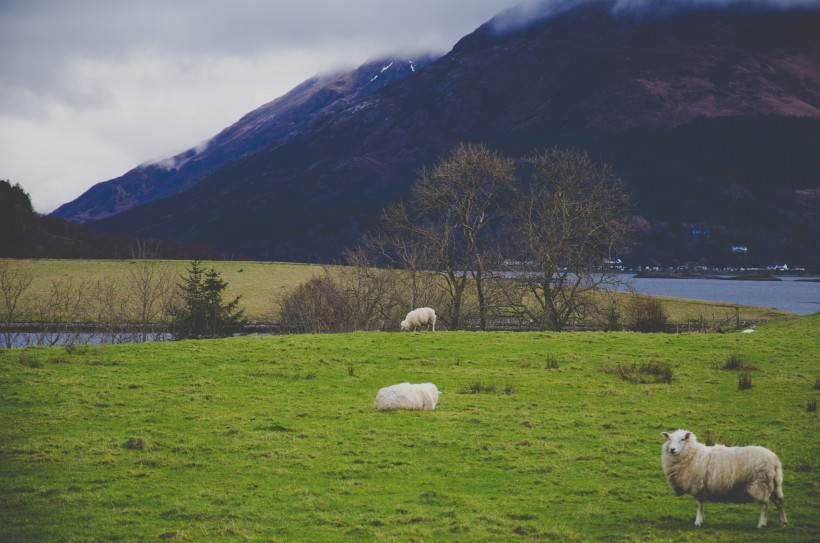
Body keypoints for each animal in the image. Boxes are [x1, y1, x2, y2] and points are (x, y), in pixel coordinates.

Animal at [660, 430, 788, 528]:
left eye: (682, 439)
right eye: (669, 439)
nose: (672, 449)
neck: (693, 454)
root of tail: (774, 459)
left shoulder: (698, 485)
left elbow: (698, 504)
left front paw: (698, 521)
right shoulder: (702, 487)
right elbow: (701, 505)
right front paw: (702, 519)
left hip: (760, 483)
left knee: (764, 505)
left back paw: (761, 524)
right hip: (773, 484)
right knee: (779, 502)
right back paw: (783, 522)